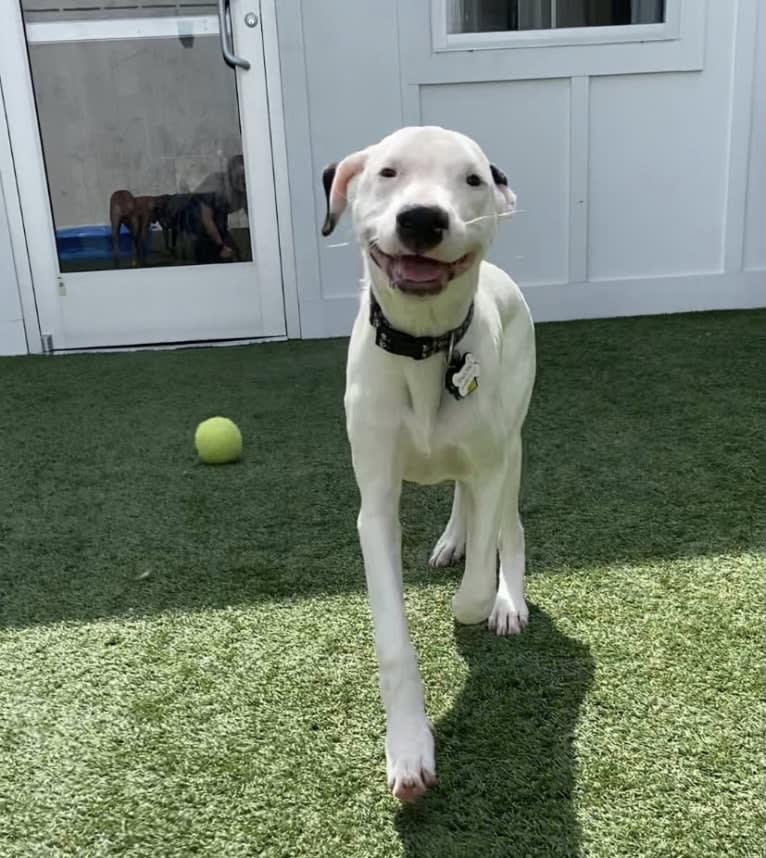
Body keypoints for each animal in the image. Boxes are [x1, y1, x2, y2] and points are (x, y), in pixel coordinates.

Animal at [320, 125, 536, 804]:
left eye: (471, 179)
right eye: (387, 172)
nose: (422, 218)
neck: (423, 347)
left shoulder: (492, 464)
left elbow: (471, 592)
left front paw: (481, 600)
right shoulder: (375, 506)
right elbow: (393, 641)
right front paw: (410, 749)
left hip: (514, 444)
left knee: (509, 524)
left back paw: (508, 598)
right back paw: (452, 540)